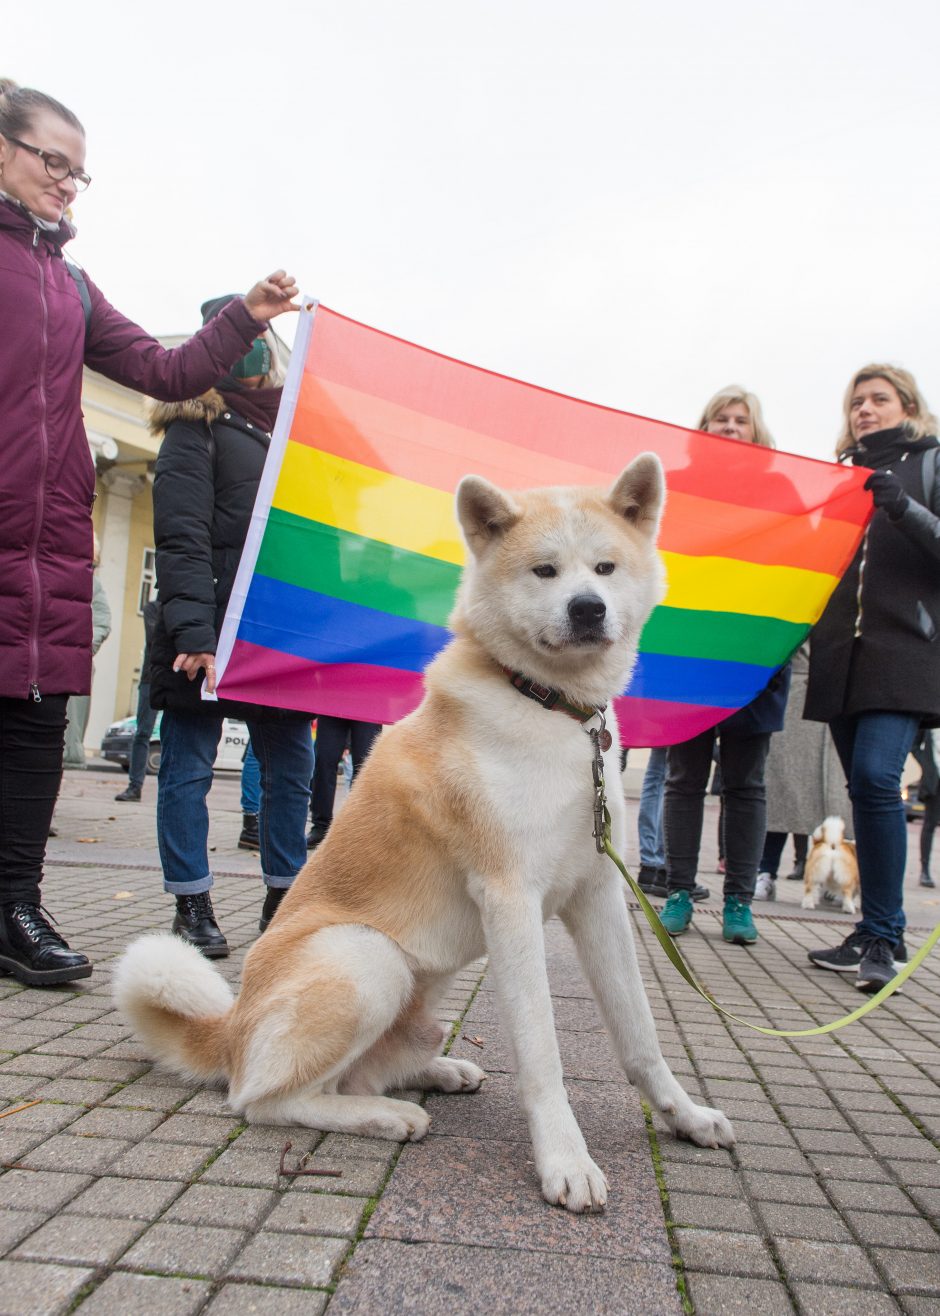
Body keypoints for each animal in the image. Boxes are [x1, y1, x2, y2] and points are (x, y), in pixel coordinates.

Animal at [113, 452, 731, 1210]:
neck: (549, 708)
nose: (588, 608)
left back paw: (436, 1073)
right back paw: (387, 1115)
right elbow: (543, 1054)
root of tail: (228, 1031)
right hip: (364, 958)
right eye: (545, 571)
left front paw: (684, 1116)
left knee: (353, 1072)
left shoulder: (599, 897)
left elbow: (640, 1034)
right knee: (263, 1098)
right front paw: (564, 1158)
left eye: (605, 568)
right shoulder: (511, 900)